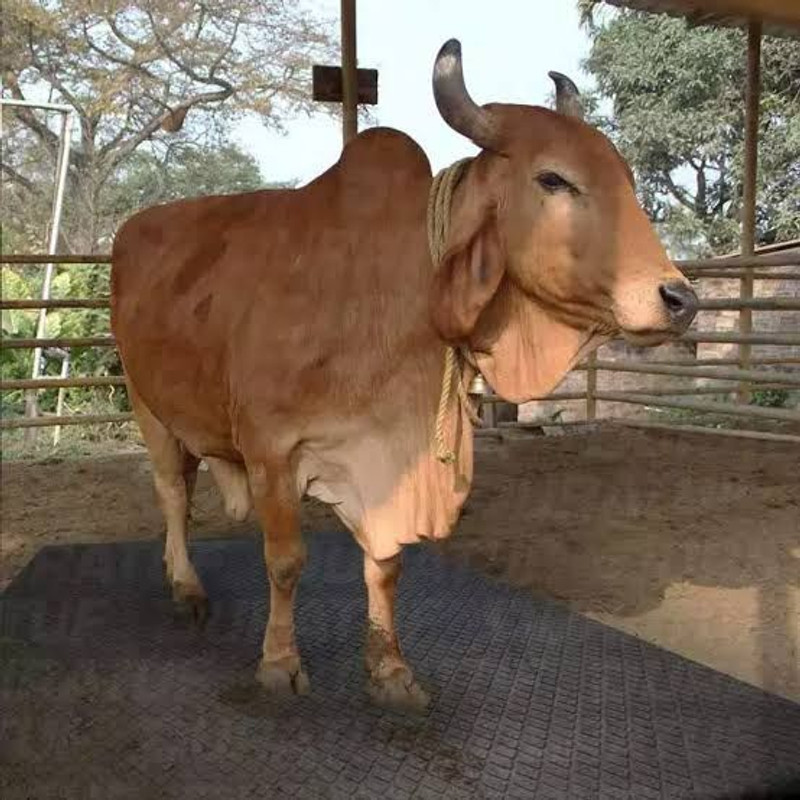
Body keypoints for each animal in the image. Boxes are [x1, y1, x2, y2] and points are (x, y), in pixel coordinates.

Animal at [110, 39, 697, 711]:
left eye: (626, 177)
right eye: (553, 178)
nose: (680, 299)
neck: (391, 295)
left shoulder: (390, 460)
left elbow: (385, 566)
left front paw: (389, 668)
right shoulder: (270, 450)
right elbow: (285, 562)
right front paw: (280, 663)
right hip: (146, 403)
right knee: (173, 494)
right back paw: (186, 586)